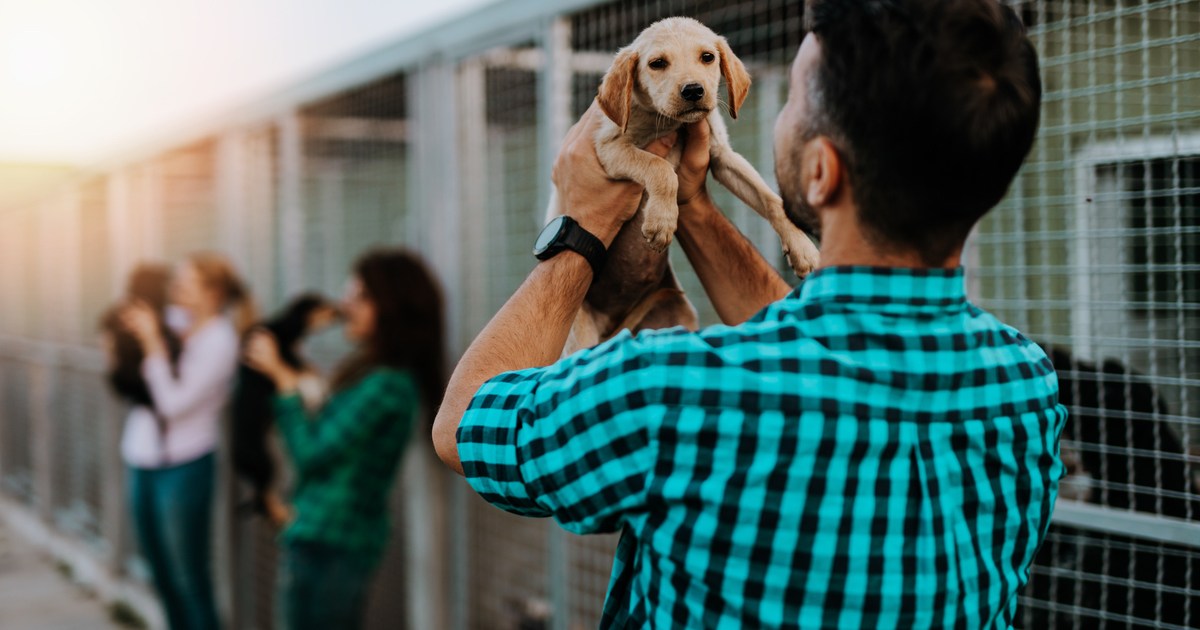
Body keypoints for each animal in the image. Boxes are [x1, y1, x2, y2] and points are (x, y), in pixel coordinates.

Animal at [229, 295, 338, 525]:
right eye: (319, 303)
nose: (341, 310)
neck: (284, 326)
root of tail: (236, 457)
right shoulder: (284, 354)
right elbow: (301, 365)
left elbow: (306, 364)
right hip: (264, 463)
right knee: (264, 496)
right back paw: (282, 514)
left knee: (263, 496)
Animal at [549, 18, 820, 352]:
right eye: (657, 64)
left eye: (707, 57)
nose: (693, 90)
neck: (670, 124)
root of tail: (613, 325)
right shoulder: (609, 148)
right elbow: (662, 168)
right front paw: (662, 220)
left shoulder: (722, 156)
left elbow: (770, 199)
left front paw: (801, 246)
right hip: (579, 334)